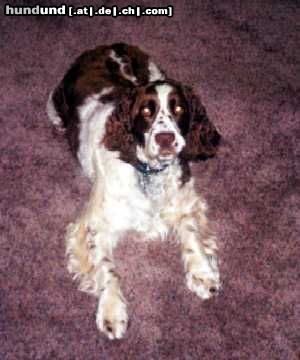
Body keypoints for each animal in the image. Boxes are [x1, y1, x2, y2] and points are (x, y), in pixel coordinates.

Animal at [46, 43, 220, 338]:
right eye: (146, 112)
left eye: (179, 108)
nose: (165, 139)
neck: (149, 173)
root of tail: (109, 46)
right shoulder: (94, 223)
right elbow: (106, 268)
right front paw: (111, 311)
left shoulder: (183, 201)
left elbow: (192, 235)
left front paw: (203, 273)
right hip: (54, 100)